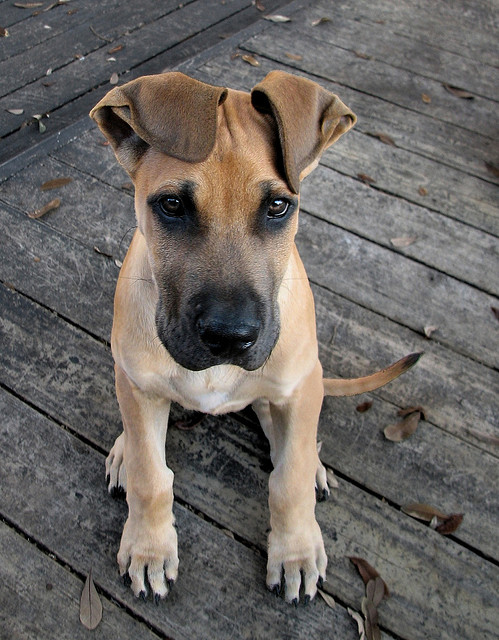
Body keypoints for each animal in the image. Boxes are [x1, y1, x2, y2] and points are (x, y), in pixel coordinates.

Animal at [89, 70, 418, 604]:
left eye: (278, 206)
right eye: (172, 205)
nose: (229, 337)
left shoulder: (298, 388)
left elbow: (289, 480)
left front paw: (296, 551)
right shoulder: (138, 386)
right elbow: (150, 477)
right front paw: (148, 547)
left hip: (299, 385)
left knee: (294, 443)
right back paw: (123, 451)